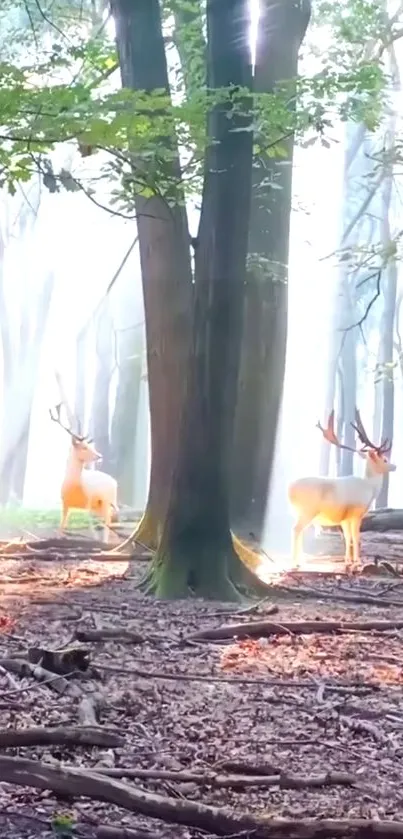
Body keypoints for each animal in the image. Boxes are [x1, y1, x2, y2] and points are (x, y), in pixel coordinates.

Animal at [49, 406, 118, 544]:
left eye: (89, 445)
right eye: (84, 447)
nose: (99, 455)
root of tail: (115, 482)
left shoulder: (88, 501)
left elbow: (89, 521)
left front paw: (96, 538)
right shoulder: (65, 502)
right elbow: (62, 523)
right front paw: (59, 536)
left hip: (107, 500)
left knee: (108, 518)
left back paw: (104, 540)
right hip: (100, 505)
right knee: (107, 517)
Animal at [288, 410, 398, 576]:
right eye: (384, 459)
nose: (395, 466)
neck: (369, 488)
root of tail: (289, 489)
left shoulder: (345, 518)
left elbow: (347, 538)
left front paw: (348, 562)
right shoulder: (356, 513)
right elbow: (356, 537)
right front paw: (357, 563)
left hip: (300, 512)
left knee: (300, 531)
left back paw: (300, 561)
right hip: (308, 510)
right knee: (296, 529)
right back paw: (295, 563)